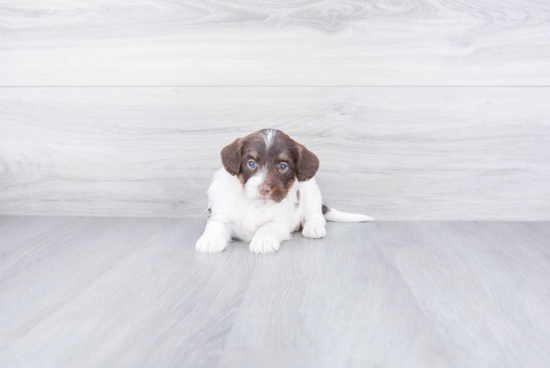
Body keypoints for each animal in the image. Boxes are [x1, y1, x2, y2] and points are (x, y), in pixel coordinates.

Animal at [196, 129, 374, 253]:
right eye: (251, 163)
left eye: (283, 166)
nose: (264, 189)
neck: (255, 204)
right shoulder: (219, 214)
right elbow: (215, 225)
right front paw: (210, 240)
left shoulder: (279, 221)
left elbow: (268, 227)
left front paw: (263, 240)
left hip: (311, 191)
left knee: (316, 216)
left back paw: (313, 227)